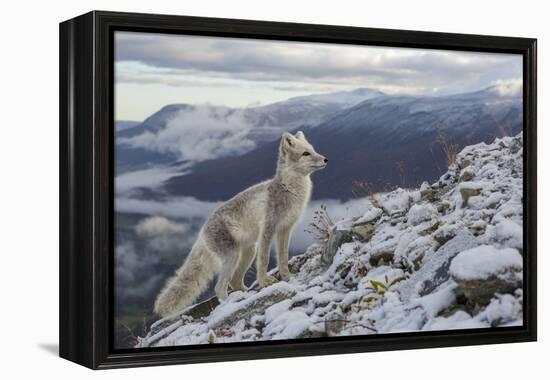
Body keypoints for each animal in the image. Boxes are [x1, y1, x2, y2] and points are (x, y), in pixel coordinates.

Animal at [155, 131, 328, 318]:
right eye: (305, 153)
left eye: (313, 150)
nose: (326, 159)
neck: (289, 189)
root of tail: (202, 232)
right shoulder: (268, 229)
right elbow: (265, 260)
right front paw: (264, 281)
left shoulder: (285, 229)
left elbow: (283, 257)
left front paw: (287, 276)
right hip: (233, 256)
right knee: (220, 287)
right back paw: (229, 304)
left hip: (248, 251)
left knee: (235, 282)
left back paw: (245, 294)